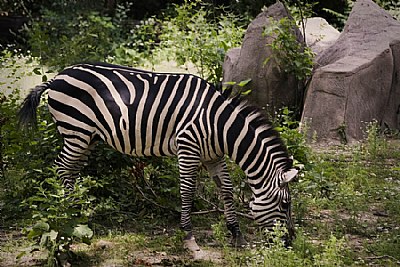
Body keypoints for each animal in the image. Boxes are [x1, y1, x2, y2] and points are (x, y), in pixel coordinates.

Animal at [20, 62, 298, 253]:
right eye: (285, 204)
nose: (290, 242)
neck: (220, 125)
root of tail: (57, 76)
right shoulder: (188, 147)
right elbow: (187, 191)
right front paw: (189, 237)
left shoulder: (213, 156)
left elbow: (227, 191)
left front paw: (236, 233)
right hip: (75, 131)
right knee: (61, 167)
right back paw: (69, 212)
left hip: (87, 137)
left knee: (71, 170)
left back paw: (79, 214)